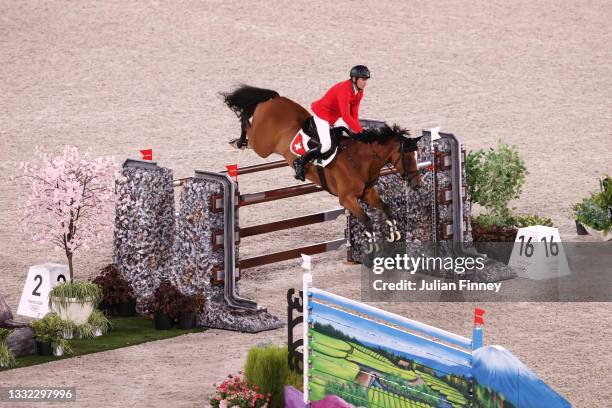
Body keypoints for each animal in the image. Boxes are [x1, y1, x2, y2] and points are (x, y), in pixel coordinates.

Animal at [222, 84, 424, 241]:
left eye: (417, 156)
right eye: (407, 157)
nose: (417, 185)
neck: (359, 161)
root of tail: (275, 99)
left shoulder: (367, 193)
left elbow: (387, 208)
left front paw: (394, 232)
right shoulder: (347, 199)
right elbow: (366, 220)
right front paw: (371, 243)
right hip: (262, 145)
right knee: (247, 124)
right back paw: (238, 141)